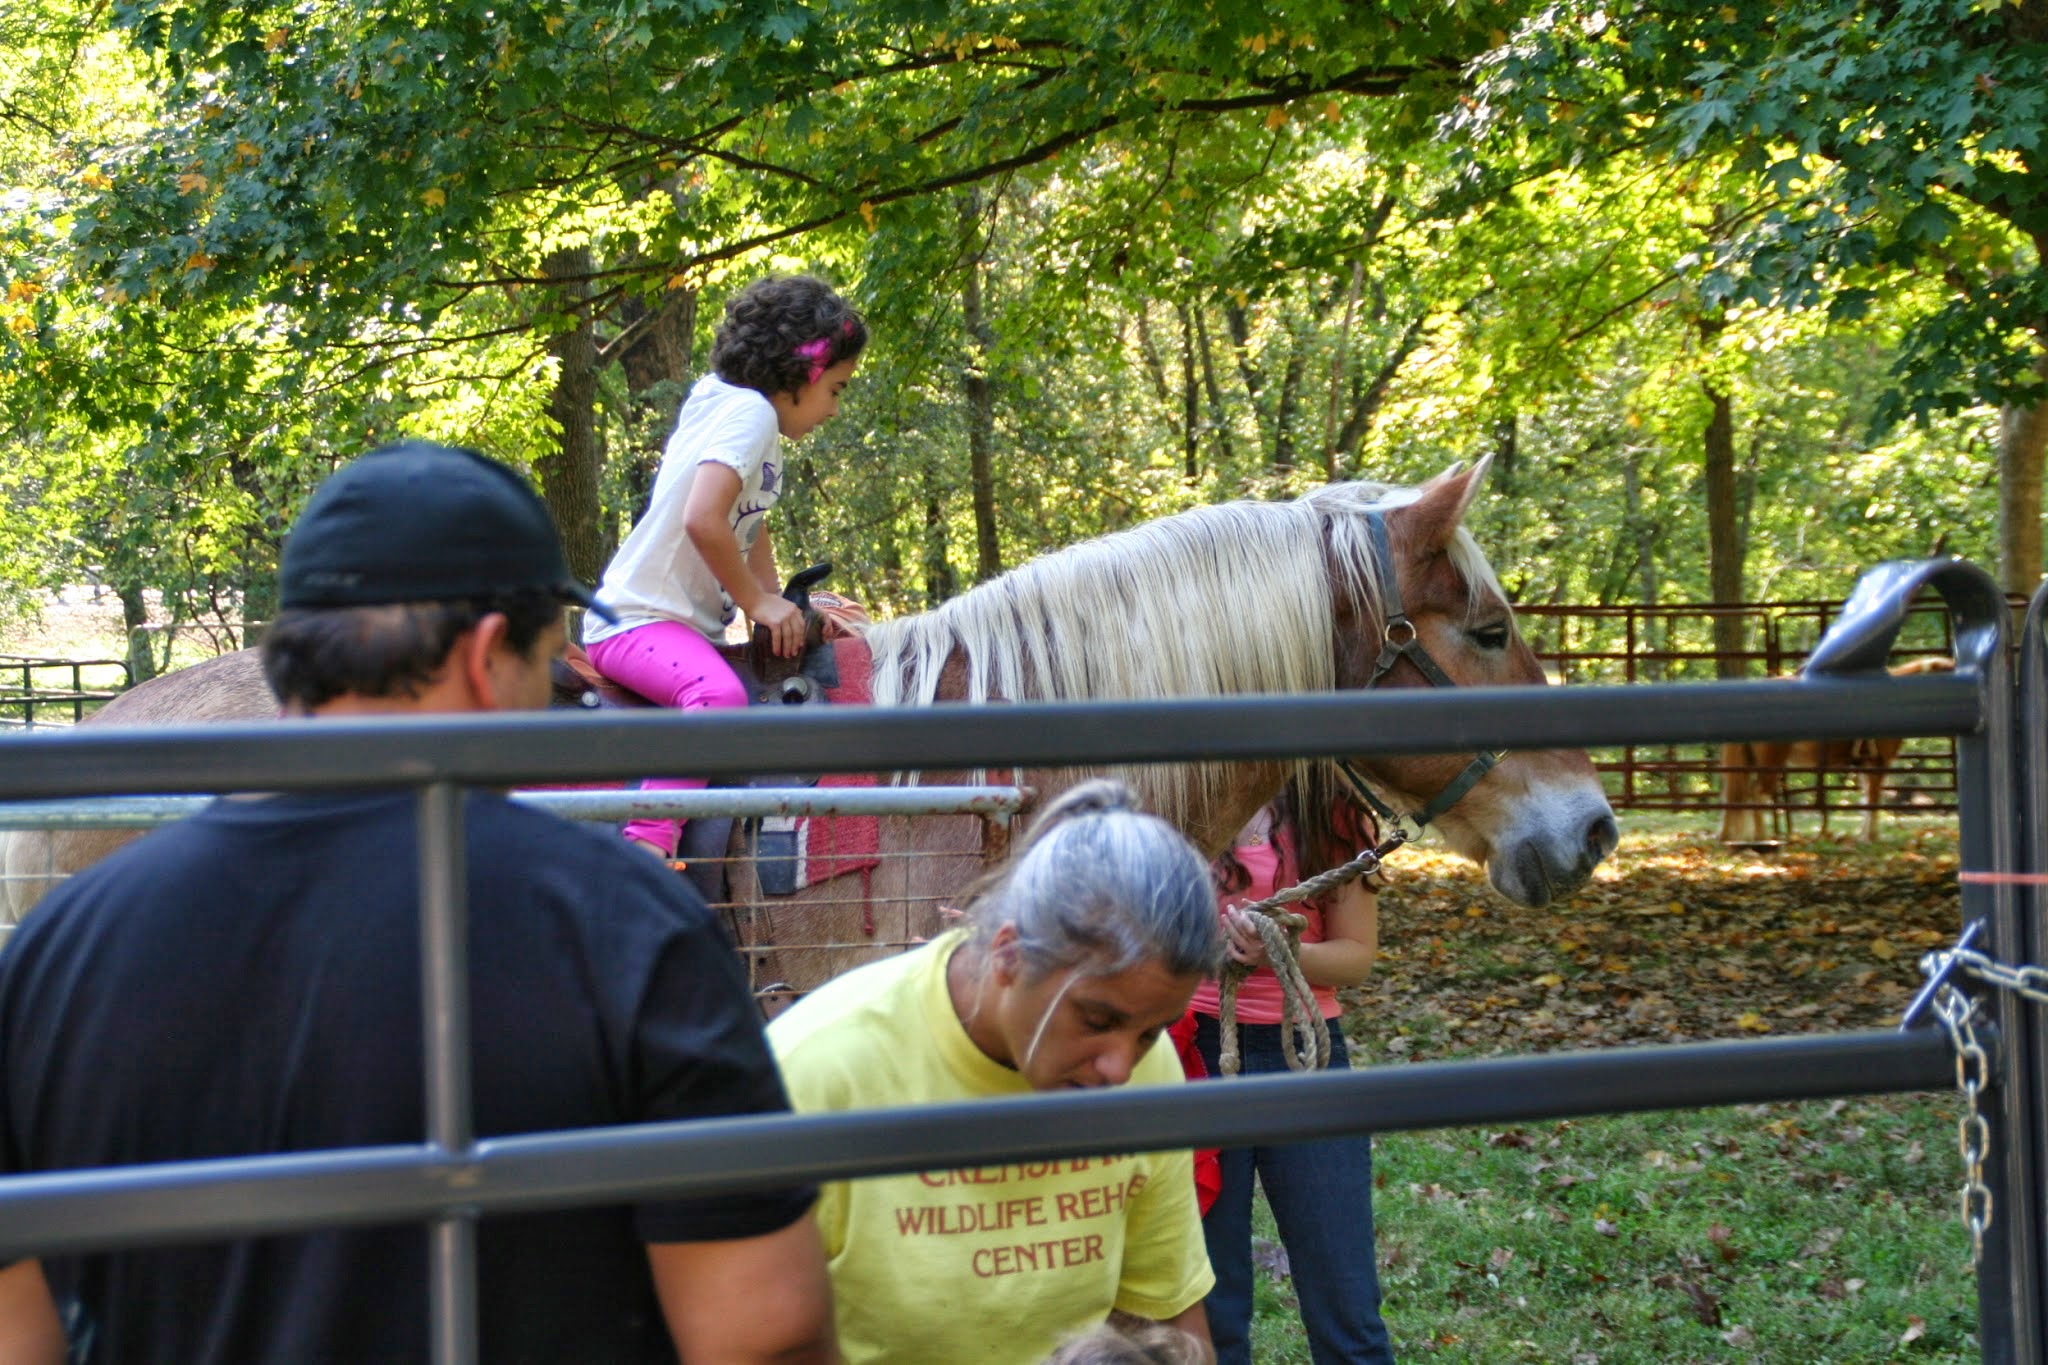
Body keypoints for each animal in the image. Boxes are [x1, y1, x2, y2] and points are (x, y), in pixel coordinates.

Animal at [1712, 650, 1949, 843]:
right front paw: (1871, 837)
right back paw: (1761, 837)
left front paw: (1863, 836)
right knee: (1756, 795)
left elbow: (1866, 801)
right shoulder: (1877, 765)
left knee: (1738, 797)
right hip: (1770, 764)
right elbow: (1873, 800)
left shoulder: (1865, 766)